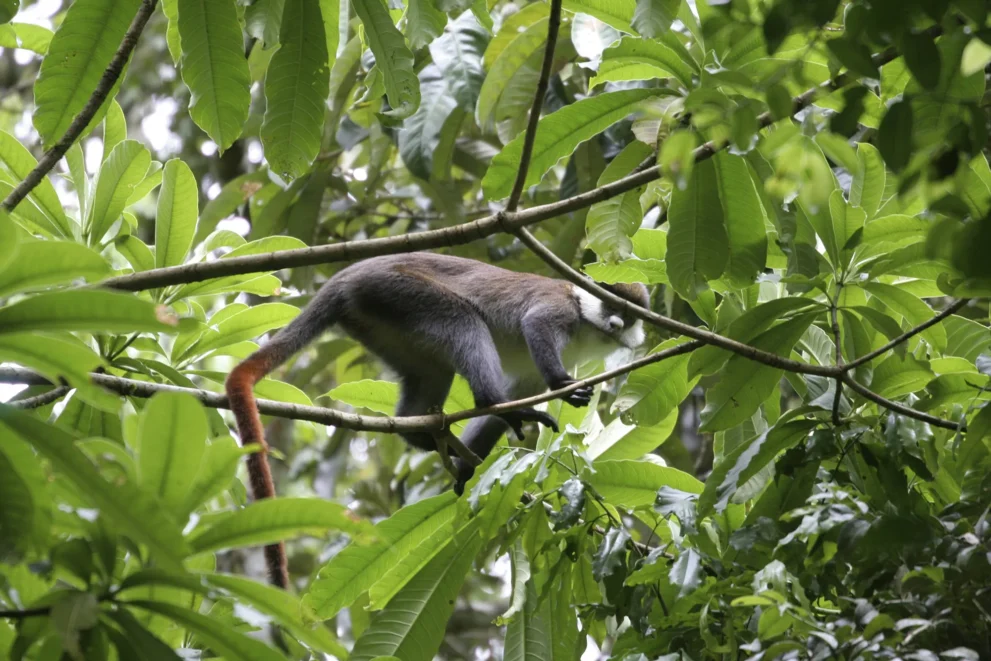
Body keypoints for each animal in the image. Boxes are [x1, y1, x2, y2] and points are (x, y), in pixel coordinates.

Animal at [225, 253, 652, 588]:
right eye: (610, 305)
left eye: (628, 316)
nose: (616, 325)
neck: (585, 321)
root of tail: (350, 274)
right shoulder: (558, 307)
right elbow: (536, 326)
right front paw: (558, 387)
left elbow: (519, 388)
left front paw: (465, 469)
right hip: (395, 291)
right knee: (463, 319)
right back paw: (494, 404)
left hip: (382, 321)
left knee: (432, 371)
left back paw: (428, 435)